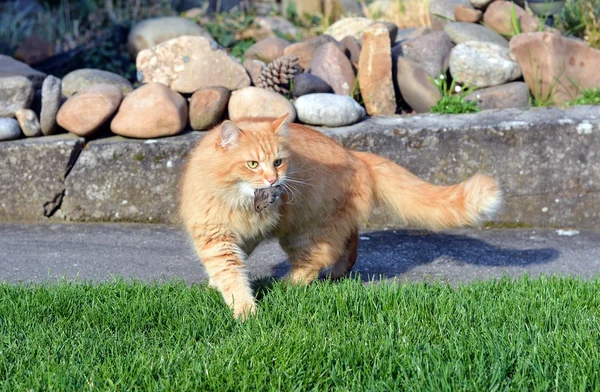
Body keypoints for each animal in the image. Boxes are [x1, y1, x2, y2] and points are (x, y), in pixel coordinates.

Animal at [179, 114, 502, 318]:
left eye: (278, 162)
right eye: (253, 164)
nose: (273, 180)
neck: (237, 200)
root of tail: (354, 155)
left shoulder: (220, 240)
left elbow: (233, 277)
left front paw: (245, 312)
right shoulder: (225, 234)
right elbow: (232, 268)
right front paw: (218, 287)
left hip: (304, 231)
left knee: (315, 261)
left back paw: (288, 284)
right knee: (351, 238)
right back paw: (339, 273)